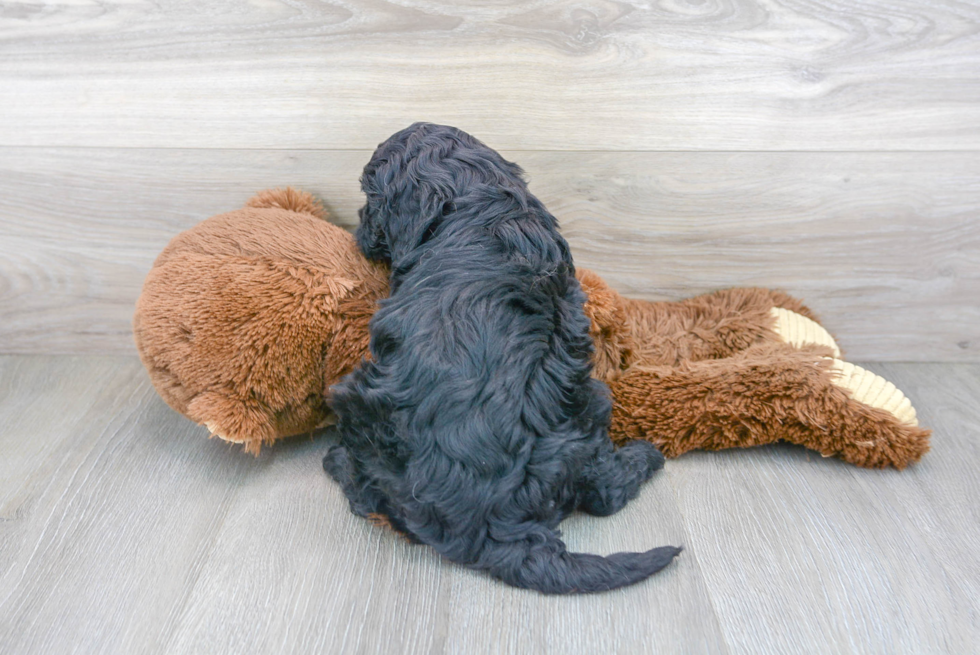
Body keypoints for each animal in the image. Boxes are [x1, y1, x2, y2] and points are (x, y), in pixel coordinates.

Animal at [326, 123, 676, 596]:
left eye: (370, 197)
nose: (357, 230)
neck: (476, 197)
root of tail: (495, 526)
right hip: (591, 402)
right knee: (605, 491)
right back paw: (646, 455)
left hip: (357, 399)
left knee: (369, 495)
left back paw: (336, 463)